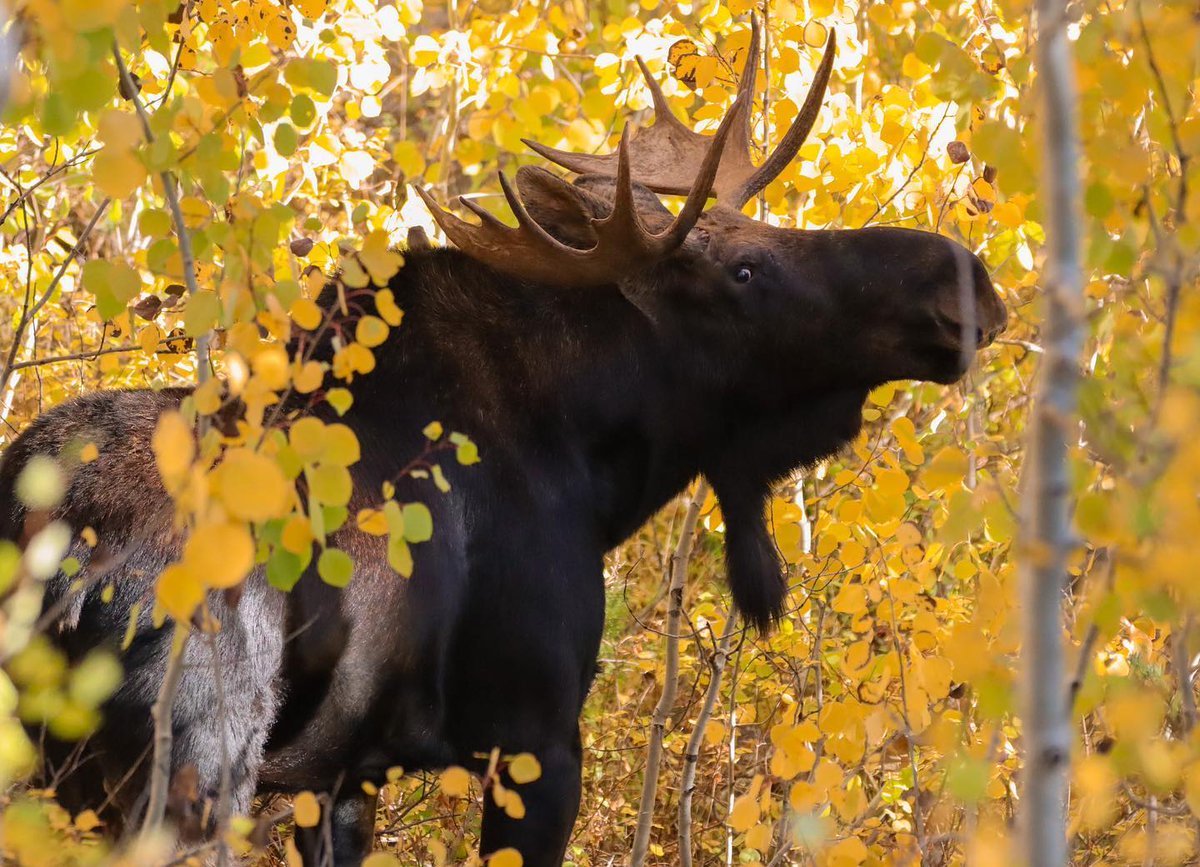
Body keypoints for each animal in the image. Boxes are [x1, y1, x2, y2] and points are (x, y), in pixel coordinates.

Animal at [0, 21, 1005, 867]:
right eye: (745, 269)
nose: (965, 281)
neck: (598, 469)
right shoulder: (537, 740)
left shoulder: (345, 775)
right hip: (191, 765)